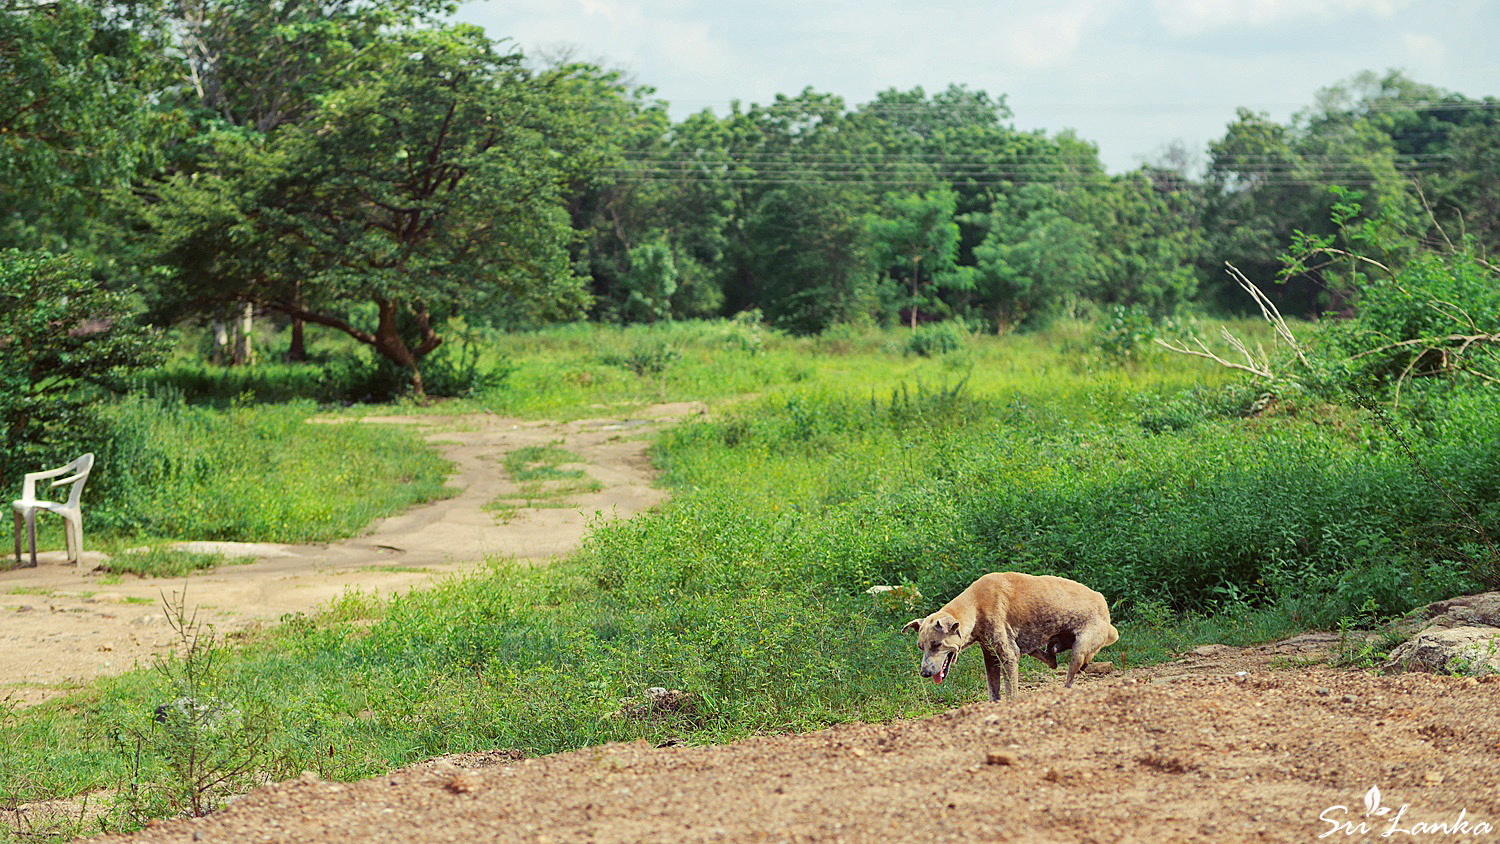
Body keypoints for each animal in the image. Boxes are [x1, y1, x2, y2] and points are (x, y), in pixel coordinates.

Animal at [894, 575, 1122, 701]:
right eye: (920, 646)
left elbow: (1011, 692)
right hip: (1059, 645)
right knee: (1053, 659)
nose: (924, 673)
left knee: (1069, 675)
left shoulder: (1008, 657)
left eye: (936, 644)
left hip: (1080, 648)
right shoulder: (990, 658)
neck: (975, 605)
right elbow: (993, 693)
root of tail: (1105, 608)